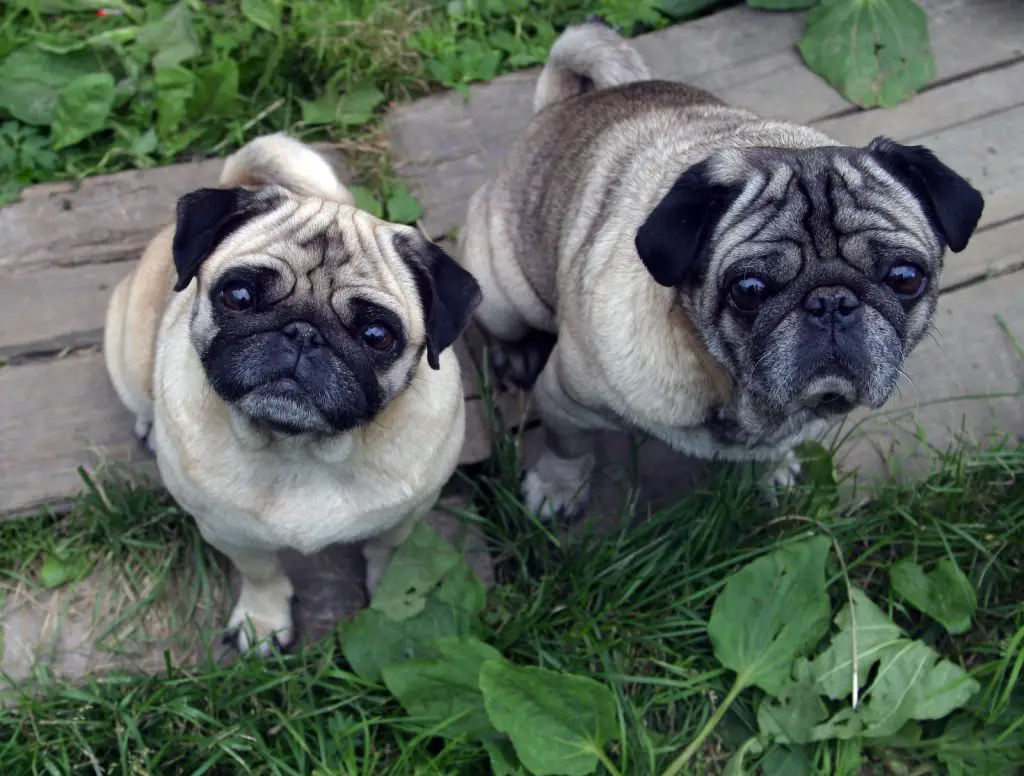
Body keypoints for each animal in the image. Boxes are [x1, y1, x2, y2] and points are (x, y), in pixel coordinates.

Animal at [105, 134, 481, 651]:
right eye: (238, 297)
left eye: (377, 336)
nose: (303, 333)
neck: (301, 449)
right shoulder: (229, 530)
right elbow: (260, 572)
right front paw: (263, 621)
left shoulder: (408, 515)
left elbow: (389, 552)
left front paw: (392, 596)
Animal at [458, 21, 983, 522]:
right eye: (748, 290)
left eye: (905, 278)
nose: (831, 301)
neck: (737, 394)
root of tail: (559, 107)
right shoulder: (565, 400)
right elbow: (567, 448)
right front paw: (557, 488)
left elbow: (777, 451)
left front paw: (774, 472)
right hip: (502, 294)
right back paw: (515, 356)